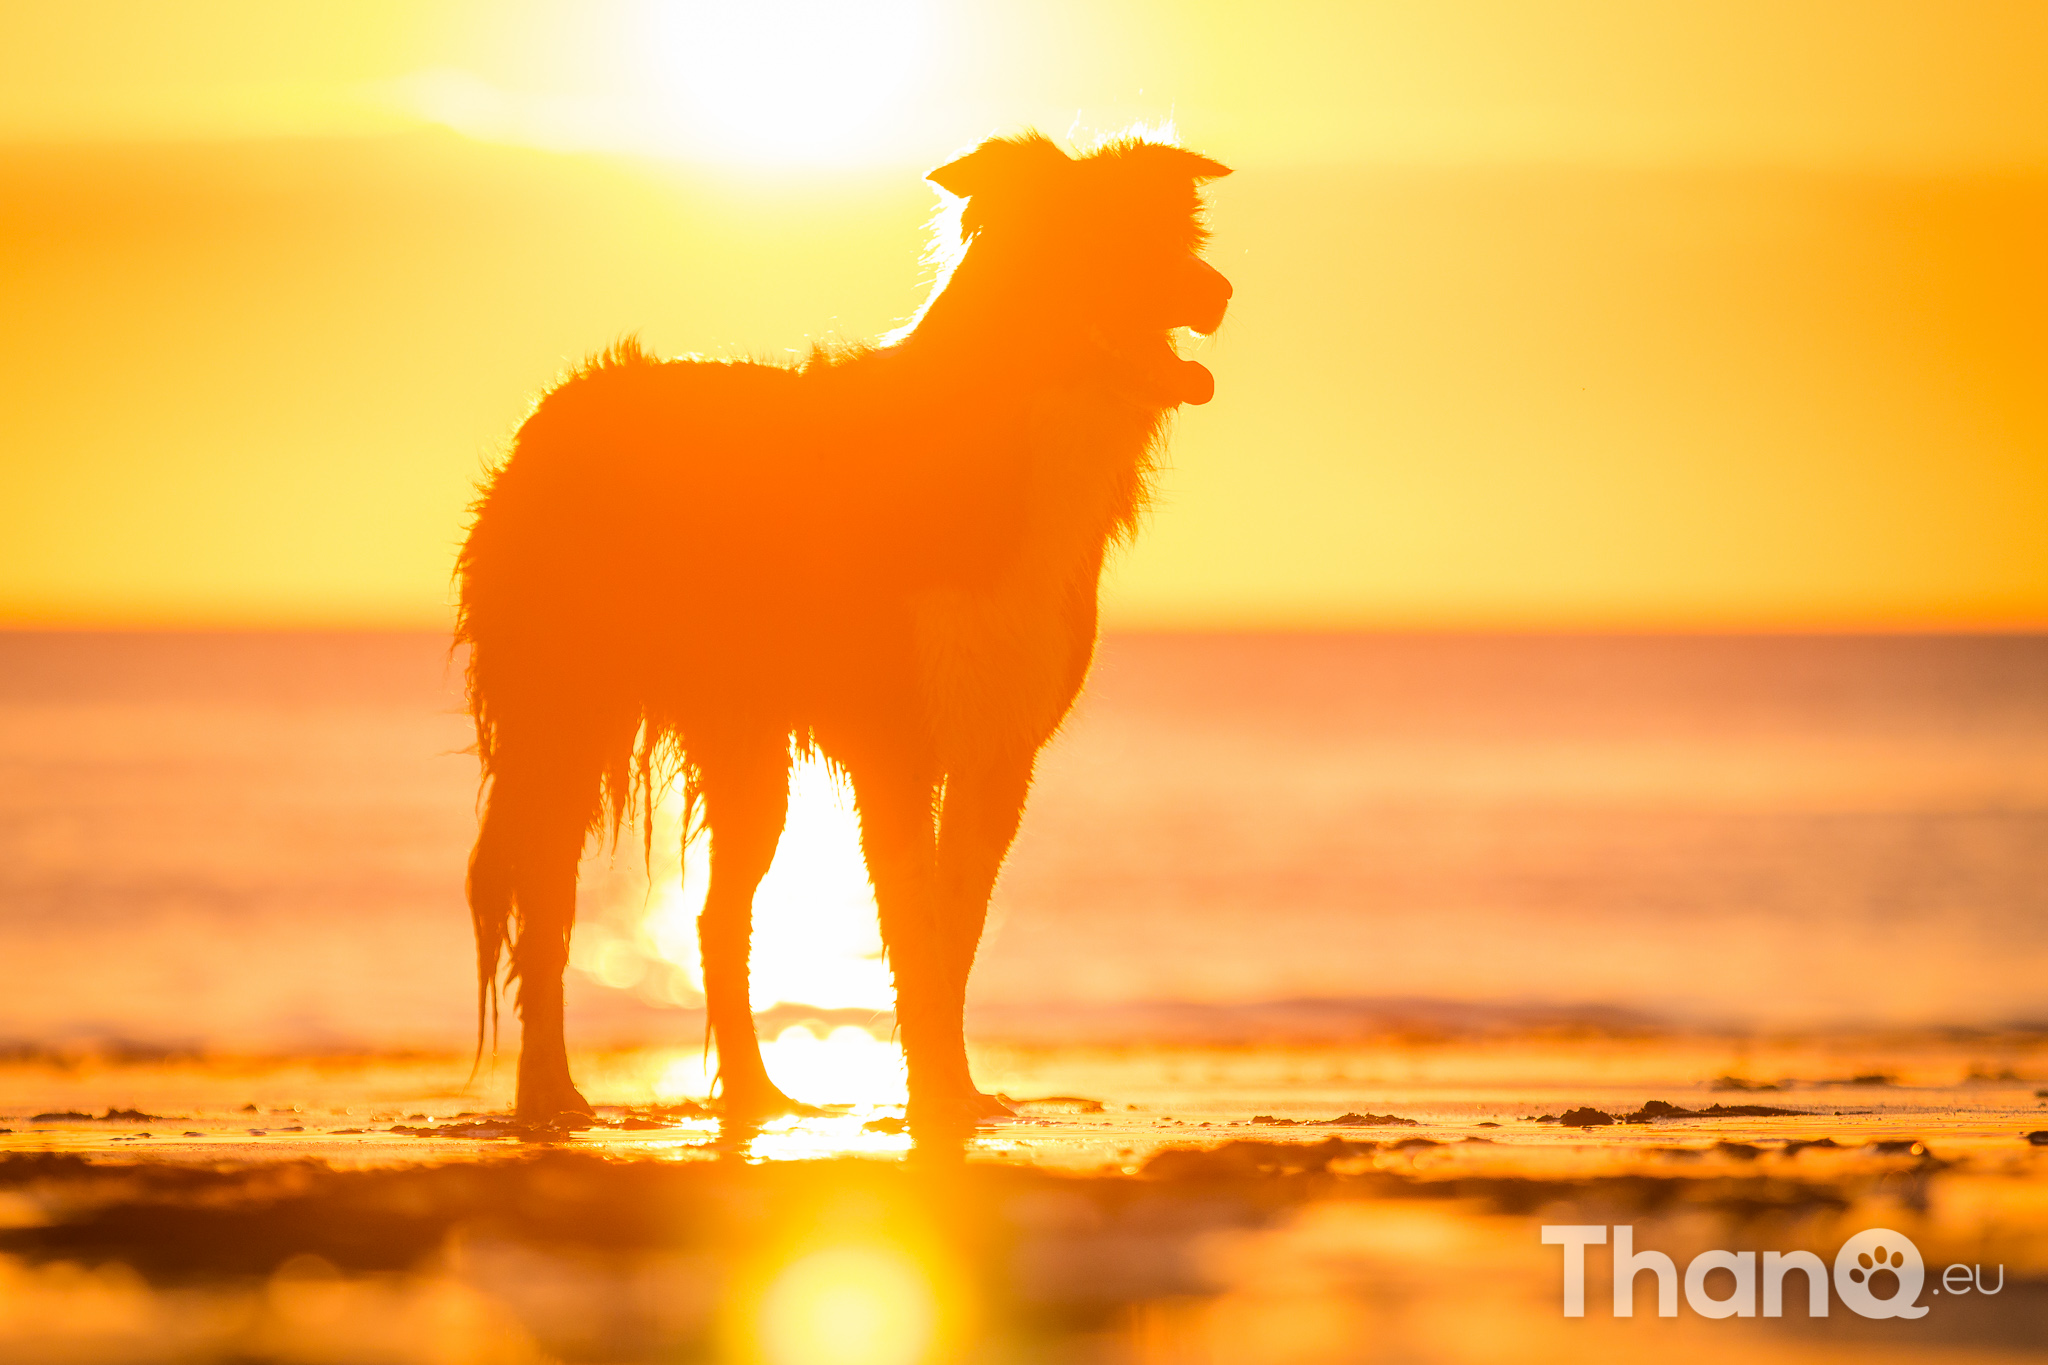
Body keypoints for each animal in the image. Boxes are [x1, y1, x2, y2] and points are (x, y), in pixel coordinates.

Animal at [454, 130, 1228, 1129]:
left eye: (1173, 235)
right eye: (1102, 240)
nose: (1220, 292)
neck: (1009, 413)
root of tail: (555, 410)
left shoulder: (999, 752)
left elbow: (956, 928)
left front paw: (955, 1091)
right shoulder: (893, 741)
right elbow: (916, 924)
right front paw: (934, 1091)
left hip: (744, 747)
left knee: (715, 916)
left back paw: (757, 1094)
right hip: (566, 717)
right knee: (543, 909)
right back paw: (553, 1092)